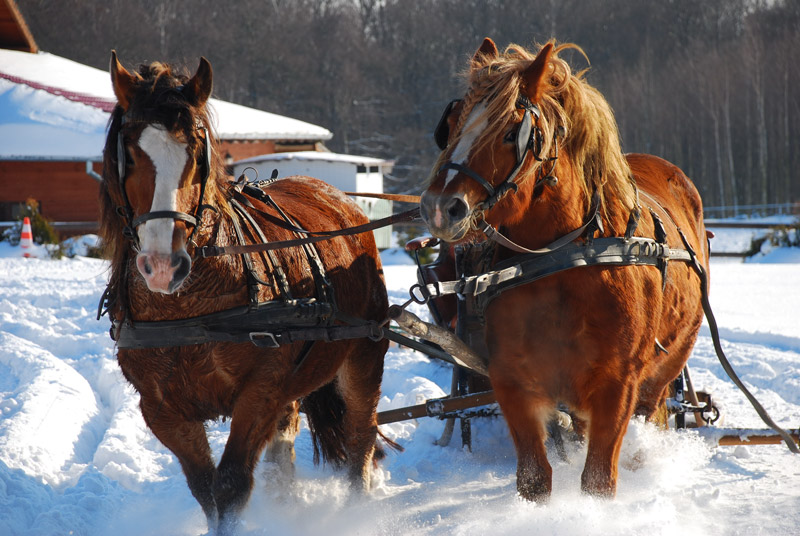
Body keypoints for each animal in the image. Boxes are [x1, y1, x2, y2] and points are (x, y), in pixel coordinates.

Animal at [98, 53, 392, 532]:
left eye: (197, 153)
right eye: (131, 153)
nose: (163, 265)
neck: (190, 308)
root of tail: (337, 196)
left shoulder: (260, 391)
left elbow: (231, 484)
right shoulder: (161, 409)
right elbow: (205, 489)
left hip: (364, 351)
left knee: (359, 435)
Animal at [418, 38, 708, 502]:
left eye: (510, 132)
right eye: (453, 124)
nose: (439, 208)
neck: (563, 264)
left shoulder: (617, 384)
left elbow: (599, 480)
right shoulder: (513, 381)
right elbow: (534, 479)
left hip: (669, 362)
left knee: (652, 412)